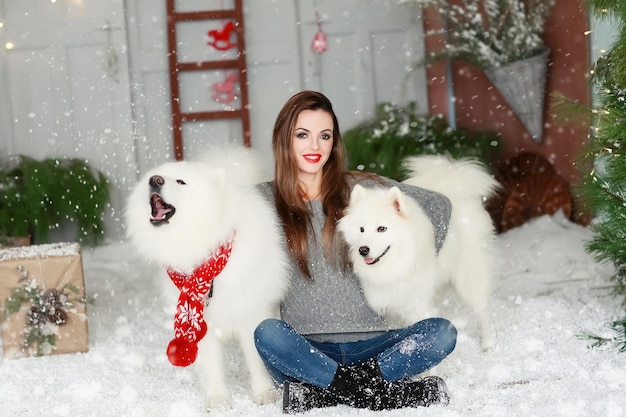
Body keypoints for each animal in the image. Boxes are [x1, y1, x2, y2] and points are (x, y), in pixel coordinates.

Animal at [125, 143, 290, 406]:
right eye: (153, 177)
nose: (155, 180)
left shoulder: (252, 313)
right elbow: (212, 367)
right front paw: (219, 400)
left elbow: (257, 363)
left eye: (181, 181)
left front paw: (264, 394)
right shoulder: (203, 327)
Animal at [336, 154, 498, 350]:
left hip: (468, 277)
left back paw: (488, 343)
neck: (393, 266)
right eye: (361, 229)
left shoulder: (416, 307)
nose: (363, 250)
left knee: (482, 309)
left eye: (382, 228)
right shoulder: (389, 312)